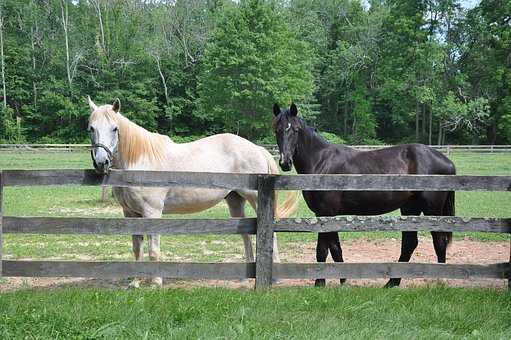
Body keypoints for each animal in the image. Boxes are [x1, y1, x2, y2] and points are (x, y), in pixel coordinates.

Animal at [86, 98, 298, 286]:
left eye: (115, 128)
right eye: (91, 128)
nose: (101, 162)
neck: (140, 161)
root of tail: (257, 148)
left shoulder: (152, 212)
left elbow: (153, 250)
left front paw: (155, 282)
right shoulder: (130, 214)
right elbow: (137, 248)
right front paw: (136, 281)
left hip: (255, 198)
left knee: (271, 234)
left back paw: (275, 277)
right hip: (235, 200)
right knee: (246, 236)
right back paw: (245, 277)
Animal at [274, 103, 458, 286]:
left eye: (295, 129)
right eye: (277, 129)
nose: (285, 162)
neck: (321, 162)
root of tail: (446, 161)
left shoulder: (325, 213)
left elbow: (322, 250)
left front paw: (320, 283)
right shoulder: (328, 214)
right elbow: (335, 248)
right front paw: (343, 281)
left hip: (432, 210)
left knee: (439, 242)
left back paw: (440, 280)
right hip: (410, 208)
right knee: (409, 244)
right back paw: (392, 283)